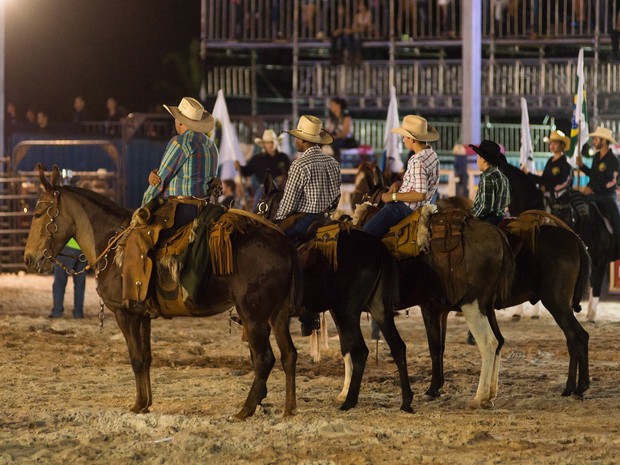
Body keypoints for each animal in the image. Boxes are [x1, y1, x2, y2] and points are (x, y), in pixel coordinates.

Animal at [21, 165, 298, 418]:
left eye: (38, 213)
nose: (29, 259)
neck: (113, 244)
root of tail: (283, 242)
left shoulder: (125, 314)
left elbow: (135, 358)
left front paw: (137, 405)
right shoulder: (142, 315)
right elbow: (146, 358)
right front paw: (145, 403)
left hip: (253, 316)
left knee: (264, 359)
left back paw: (245, 410)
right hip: (278, 314)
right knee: (289, 355)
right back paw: (289, 408)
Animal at [256, 172, 412, 412]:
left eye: (260, 205)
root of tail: (376, 248)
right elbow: (344, 347)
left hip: (347, 311)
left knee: (361, 350)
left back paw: (350, 401)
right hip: (377, 309)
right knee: (398, 347)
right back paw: (406, 401)